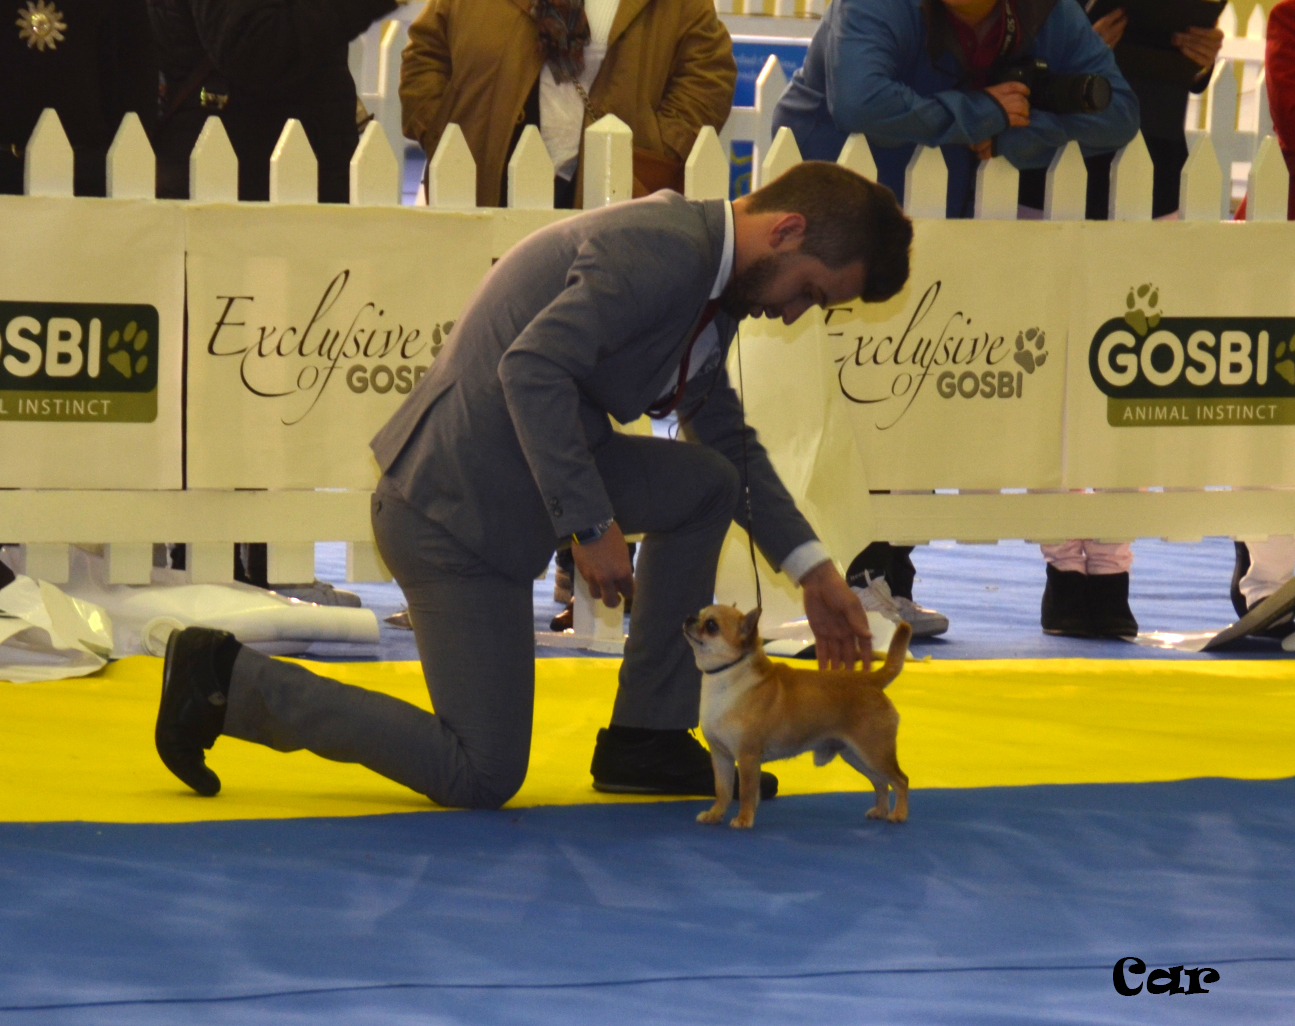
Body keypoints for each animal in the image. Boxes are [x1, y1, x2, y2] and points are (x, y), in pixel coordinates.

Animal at [683, 605, 911, 829]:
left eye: (711, 625)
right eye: (699, 614)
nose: (689, 618)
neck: (726, 678)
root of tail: (871, 680)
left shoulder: (747, 756)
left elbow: (746, 792)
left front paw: (744, 819)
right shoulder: (721, 756)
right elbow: (723, 790)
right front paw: (715, 815)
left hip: (874, 753)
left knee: (900, 780)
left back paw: (898, 814)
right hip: (856, 756)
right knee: (881, 783)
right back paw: (880, 811)